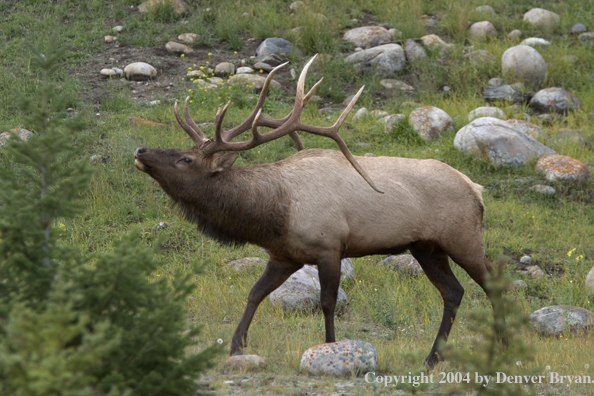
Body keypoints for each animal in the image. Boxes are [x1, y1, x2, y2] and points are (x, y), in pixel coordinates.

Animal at [135, 54, 500, 366]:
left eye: (186, 159)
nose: (140, 151)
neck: (275, 214)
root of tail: (477, 190)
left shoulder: (329, 247)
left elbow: (327, 303)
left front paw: (329, 345)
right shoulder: (284, 255)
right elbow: (254, 293)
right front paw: (236, 345)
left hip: (463, 237)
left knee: (495, 283)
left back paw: (502, 344)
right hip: (426, 247)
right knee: (453, 292)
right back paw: (432, 357)